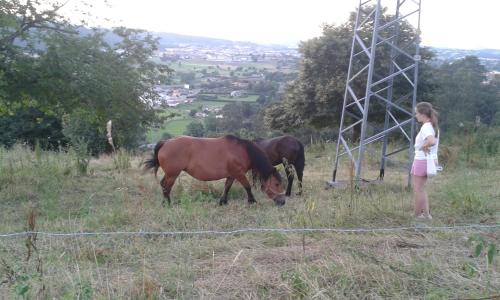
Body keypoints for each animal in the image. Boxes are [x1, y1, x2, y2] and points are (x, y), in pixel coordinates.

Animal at [143, 135, 288, 206]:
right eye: (277, 184)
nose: (283, 202)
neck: (243, 151)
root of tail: (165, 143)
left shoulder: (232, 174)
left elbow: (227, 187)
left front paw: (222, 202)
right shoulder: (239, 173)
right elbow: (247, 187)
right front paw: (252, 201)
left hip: (170, 174)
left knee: (163, 185)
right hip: (172, 174)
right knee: (166, 187)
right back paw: (167, 204)